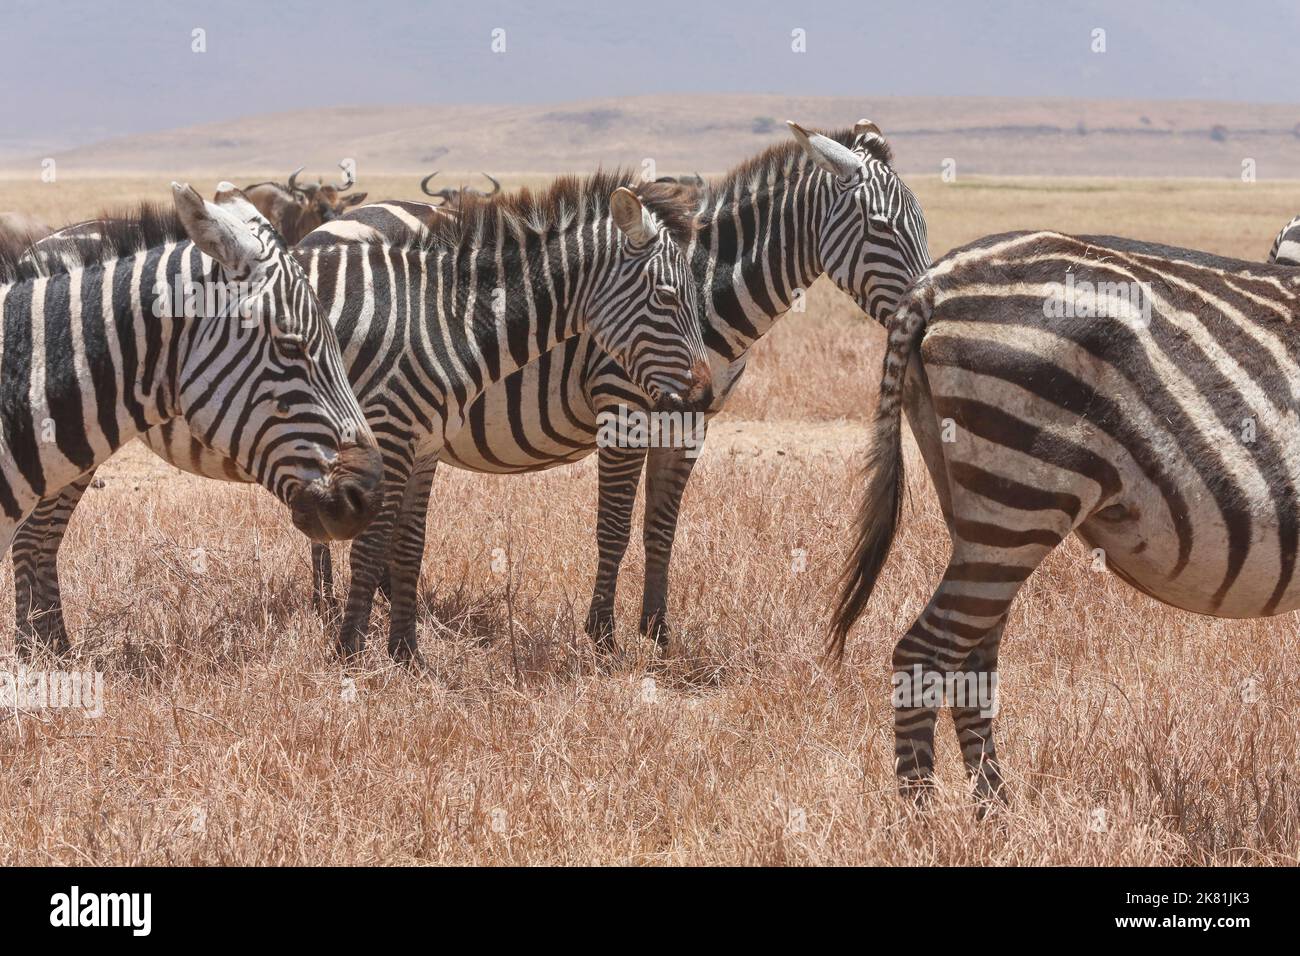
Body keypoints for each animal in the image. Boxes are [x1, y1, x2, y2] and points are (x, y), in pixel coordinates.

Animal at [832, 227, 1300, 811]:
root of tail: (933, 283)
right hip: (1021, 498)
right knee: (922, 654)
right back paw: (924, 821)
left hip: (978, 513)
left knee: (972, 658)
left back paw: (997, 816)